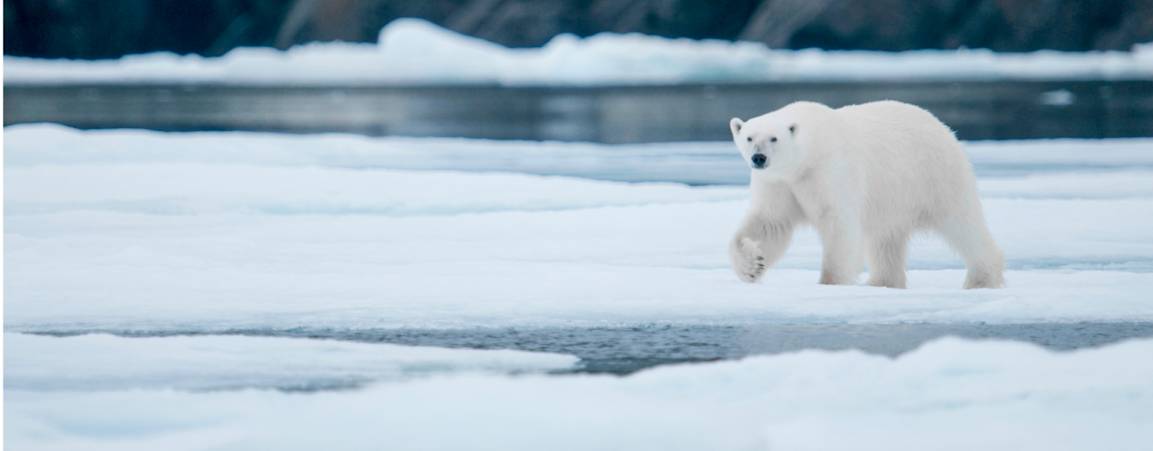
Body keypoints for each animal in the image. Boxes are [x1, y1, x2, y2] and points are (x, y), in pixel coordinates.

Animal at [728, 100, 1000, 289]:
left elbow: (838, 224)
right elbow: (770, 223)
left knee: (962, 224)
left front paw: (830, 282)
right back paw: (882, 282)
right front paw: (752, 266)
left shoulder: (830, 172)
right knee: (885, 240)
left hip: (935, 177)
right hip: (892, 200)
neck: (806, 157)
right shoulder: (778, 183)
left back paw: (982, 279)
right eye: (749, 137)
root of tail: (943, 127)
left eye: (774, 138)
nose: (759, 158)